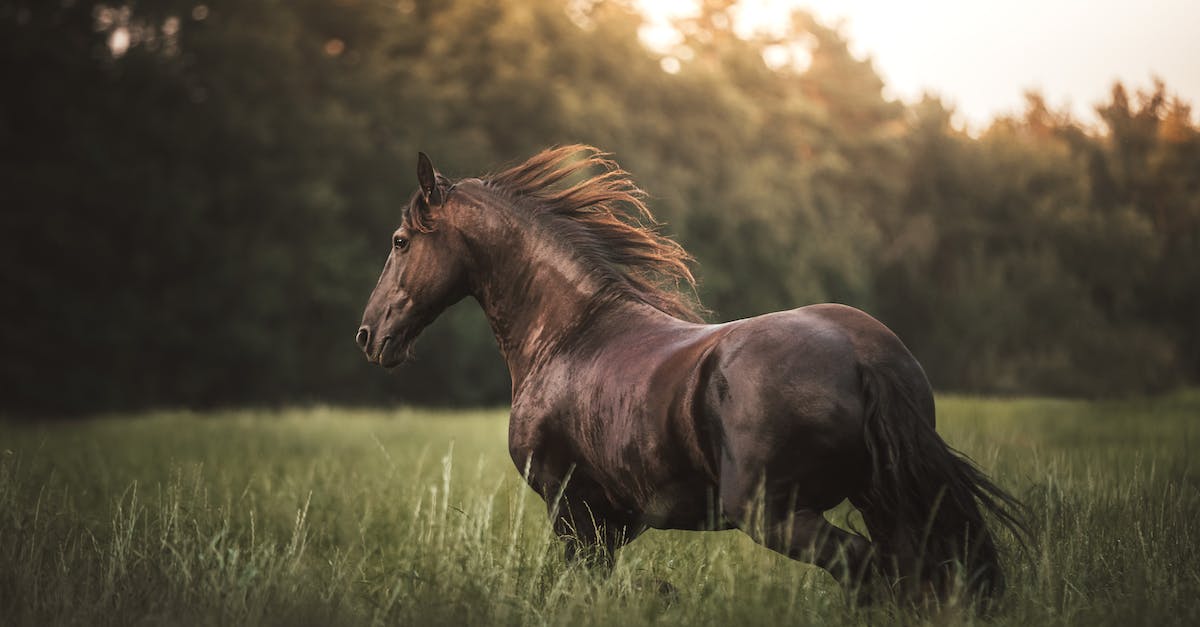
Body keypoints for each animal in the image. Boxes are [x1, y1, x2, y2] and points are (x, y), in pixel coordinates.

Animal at [355, 145, 1027, 607]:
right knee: (916, 576)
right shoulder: (611, 522)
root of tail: (864, 355)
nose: (369, 336)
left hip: (775, 513)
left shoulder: (570, 507)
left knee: (867, 570)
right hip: (885, 500)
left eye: (400, 241)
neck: (569, 334)